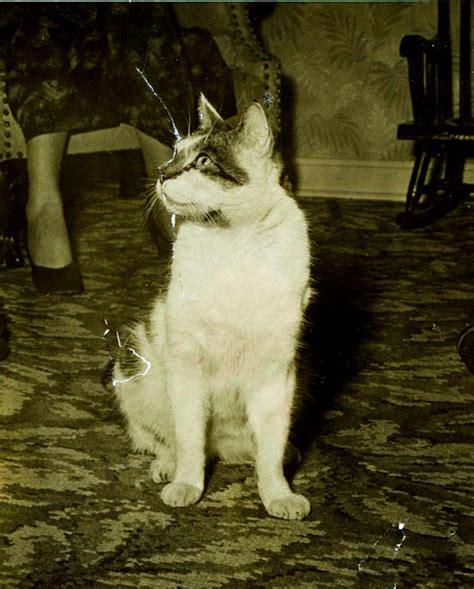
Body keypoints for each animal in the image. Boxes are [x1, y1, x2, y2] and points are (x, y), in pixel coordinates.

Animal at [112, 95, 312, 520]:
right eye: (175, 153)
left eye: (204, 160)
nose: (162, 173)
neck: (236, 243)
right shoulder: (187, 364)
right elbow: (188, 438)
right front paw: (187, 484)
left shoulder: (276, 374)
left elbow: (269, 451)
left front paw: (278, 494)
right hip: (134, 365)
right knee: (160, 438)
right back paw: (167, 466)